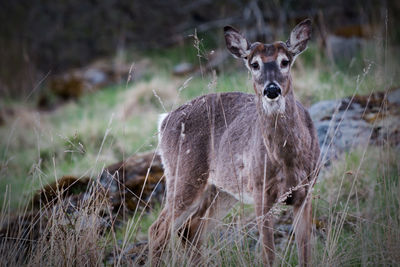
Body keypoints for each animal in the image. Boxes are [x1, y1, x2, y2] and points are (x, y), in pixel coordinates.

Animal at [148, 19, 320, 267]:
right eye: (254, 64)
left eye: (285, 61)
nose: (272, 89)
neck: (287, 160)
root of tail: (164, 121)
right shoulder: (260, 192)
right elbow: (268, 255)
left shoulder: (306, 192)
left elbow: (305, 253)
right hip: (184, 174)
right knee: (158, 229)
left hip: (221, 190)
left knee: (191, 230)